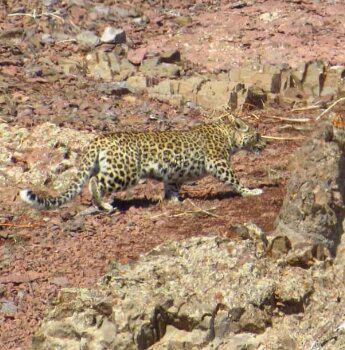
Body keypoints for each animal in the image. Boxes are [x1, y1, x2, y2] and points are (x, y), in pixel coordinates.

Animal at [20, 117, 264, 211]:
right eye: (257, 134)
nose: (265, 143)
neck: (228, 135)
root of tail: (99, 139)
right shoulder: (218, 162)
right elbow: (234, 179)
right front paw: (250, 191)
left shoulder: (174, 175)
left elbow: (172, 187)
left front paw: (174, 201)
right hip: (125, 171)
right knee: (95, 182)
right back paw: (104, 205)